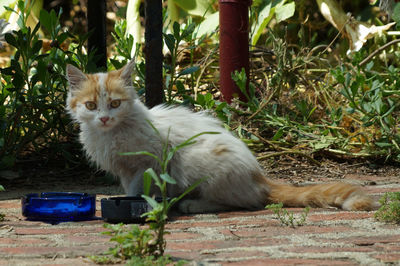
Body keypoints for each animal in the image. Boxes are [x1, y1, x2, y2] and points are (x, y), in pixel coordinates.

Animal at [65, 60, 378, 214]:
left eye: (115, 103)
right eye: (91, 106)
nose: (104, 118)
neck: (110, 134)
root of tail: (260, 178)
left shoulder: (150, 160)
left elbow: (138, 188)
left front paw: (139, 204)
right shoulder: (123, 170)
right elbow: (130, 186)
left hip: (194, 159)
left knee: (245, 203)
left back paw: (193, 205)